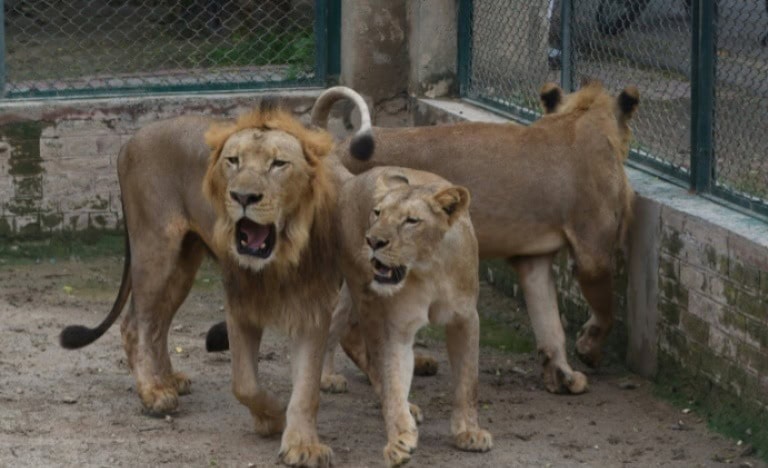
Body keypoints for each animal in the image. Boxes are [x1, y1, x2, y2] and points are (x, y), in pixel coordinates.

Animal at [57, 99, 372, 468]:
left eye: (279, 164)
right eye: (232, 161)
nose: (242, 196)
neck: (281, 256)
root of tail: (129, 142)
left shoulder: (312, 308)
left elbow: (306, 387)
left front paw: (303, 445)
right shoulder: (239, 302)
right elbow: (246, 384)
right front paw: (271, 416)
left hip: (183, 262)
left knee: (158, 324)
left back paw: (169, 379)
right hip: (155, 248)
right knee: (135, 323)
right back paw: (153, 393)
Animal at [311, 83, 639, 395]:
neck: (582, 116)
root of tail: (338, 148)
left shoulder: (533, 260)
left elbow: (549, 322)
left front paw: (562, 376)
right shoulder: (593, 253)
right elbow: (605, 311)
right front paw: (588, 350)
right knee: (342, 322)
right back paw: (331, 378)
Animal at [327, 166, 492, 466]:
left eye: (411, 221)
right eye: (377, 213)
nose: (373, 241)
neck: (430, 269)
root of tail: (355, 177)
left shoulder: (466, 318)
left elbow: (468, 381)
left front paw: (468, 432)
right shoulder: (397, 327)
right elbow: (393, 379)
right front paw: (399, 440)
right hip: (363, 294)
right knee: (364, 349)